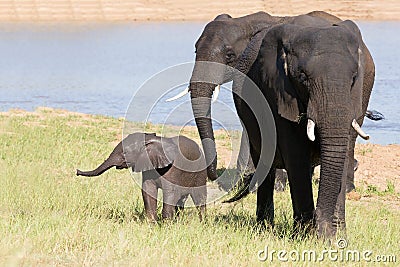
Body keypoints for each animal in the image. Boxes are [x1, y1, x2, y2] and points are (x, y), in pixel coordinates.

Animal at [77, 132, 208, 222]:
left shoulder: (173, 169)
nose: (77, 171)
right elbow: (148, 190)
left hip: (200, 171)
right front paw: (152, 224)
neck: (151, 140)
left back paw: (202, 223)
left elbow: (170, 192)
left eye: (124, 153)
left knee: (199, 198)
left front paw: (166, 226)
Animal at [231, 19, 376, 239]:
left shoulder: (355, 98)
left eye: (353, 78)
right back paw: (265, 228)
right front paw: (307, 236)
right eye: (302, 77)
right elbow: (296, 155)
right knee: (265, 163)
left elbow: (341, 152)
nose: (322, 230)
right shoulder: (277, 93)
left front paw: (336, 237)